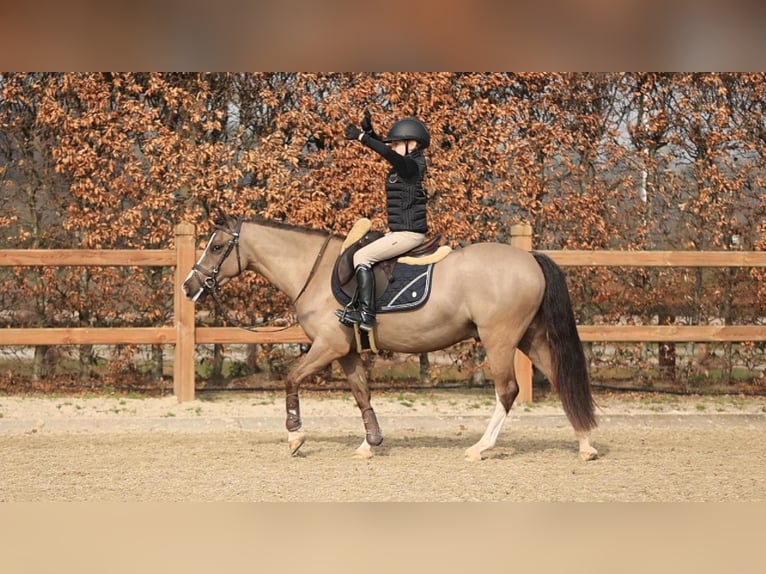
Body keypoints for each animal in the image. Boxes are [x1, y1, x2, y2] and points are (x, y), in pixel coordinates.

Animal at [182, 213, 598, 461]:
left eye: (216, 247)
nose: (189, 286)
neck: (314, 272)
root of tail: (530, 258)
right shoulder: (346, 351)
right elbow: (362, 393)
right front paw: (370, 442)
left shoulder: (328, 346)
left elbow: (291, 377)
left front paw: (295, 436)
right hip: (530, 338)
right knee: (561, 379)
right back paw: (585, 444)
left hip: (499, 340)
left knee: (508, 391)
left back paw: (481, 447)